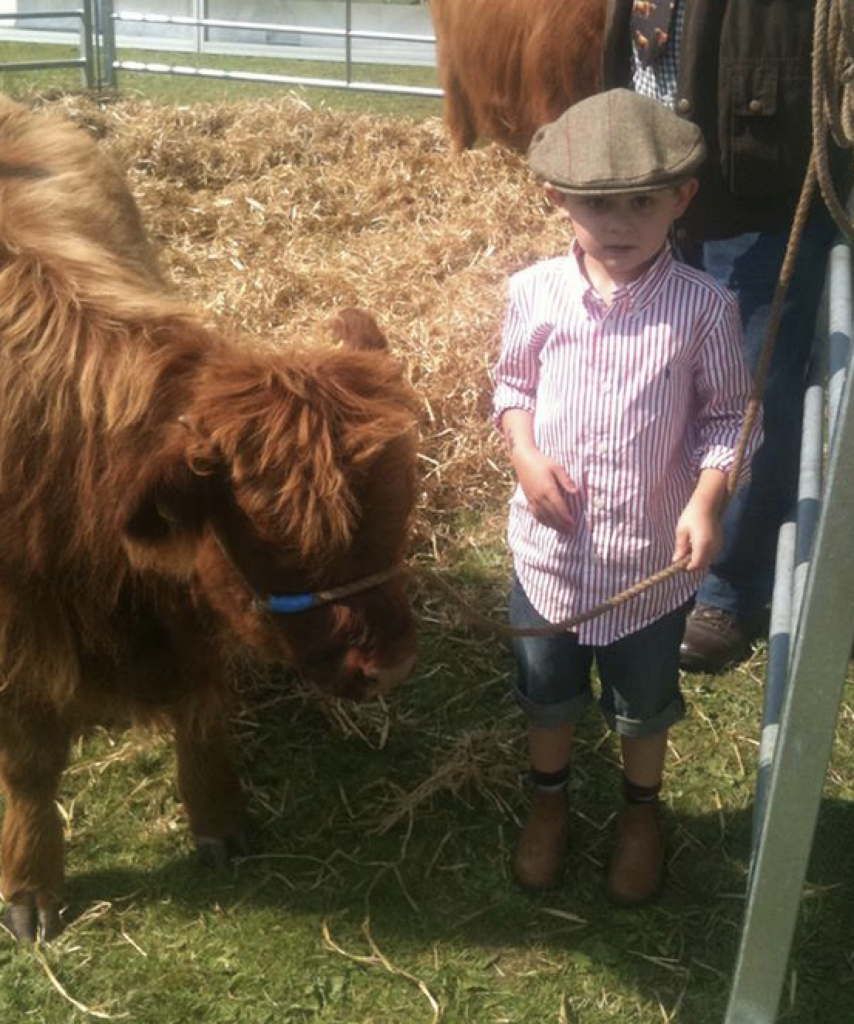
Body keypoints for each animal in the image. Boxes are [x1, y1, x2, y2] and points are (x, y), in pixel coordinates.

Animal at [0, 95, 419, 943]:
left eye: (404, 511)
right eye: (282, 548)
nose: (390, 666)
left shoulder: (184, 612)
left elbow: (201, 715)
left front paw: (220, 820)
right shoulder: (19, 639)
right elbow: (28, 764)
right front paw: (30, 883)